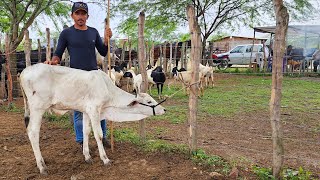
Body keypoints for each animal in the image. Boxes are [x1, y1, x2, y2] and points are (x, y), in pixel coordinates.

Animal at [19, 63, 166, 174]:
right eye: (148, 101)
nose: (164, 109)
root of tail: (24, 72)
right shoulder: (94, 110)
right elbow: (98, 135)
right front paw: (105, 159)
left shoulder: (86, 111)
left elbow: (86, 131)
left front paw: (87, 156)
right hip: (37, 109)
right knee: (32, 132)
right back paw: (42, 166)